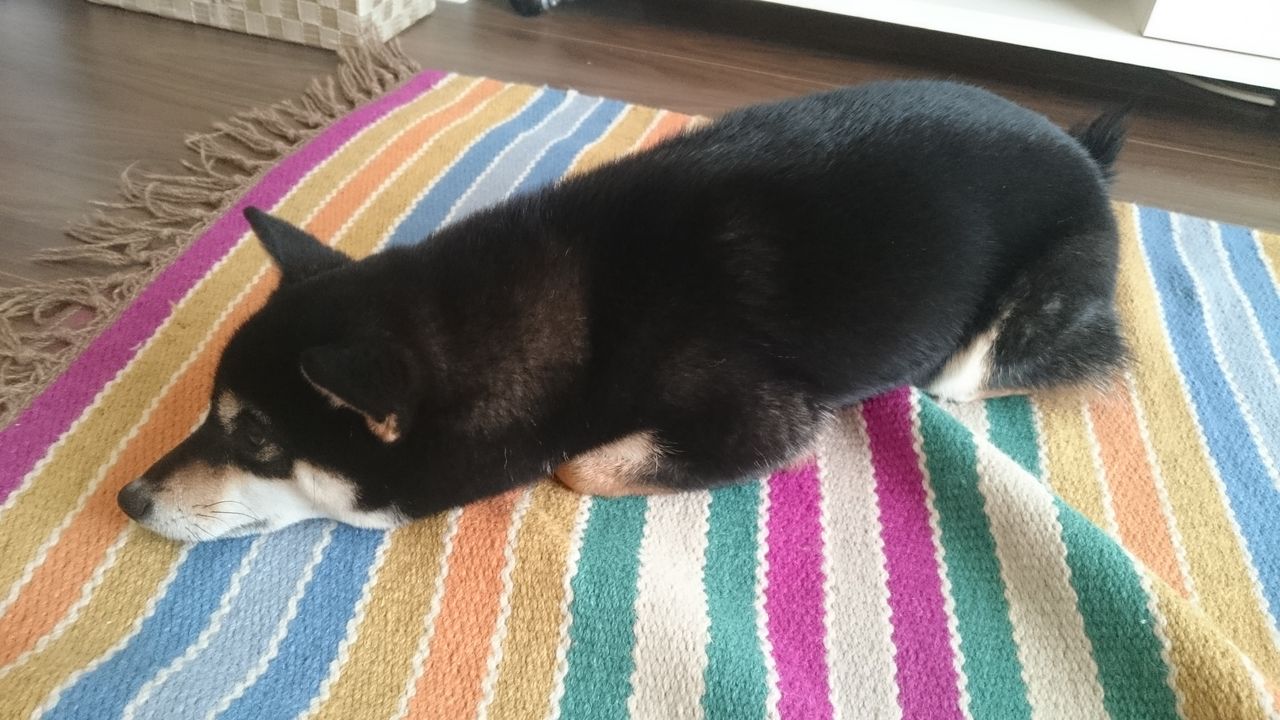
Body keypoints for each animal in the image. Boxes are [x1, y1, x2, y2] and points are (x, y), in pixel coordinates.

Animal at [117, 80, 1128, 541]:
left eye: (256, 439)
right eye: (210, 415)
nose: (128, 497)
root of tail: (1083, 150)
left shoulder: (761, 418)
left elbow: (577, 466)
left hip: (992, 339)